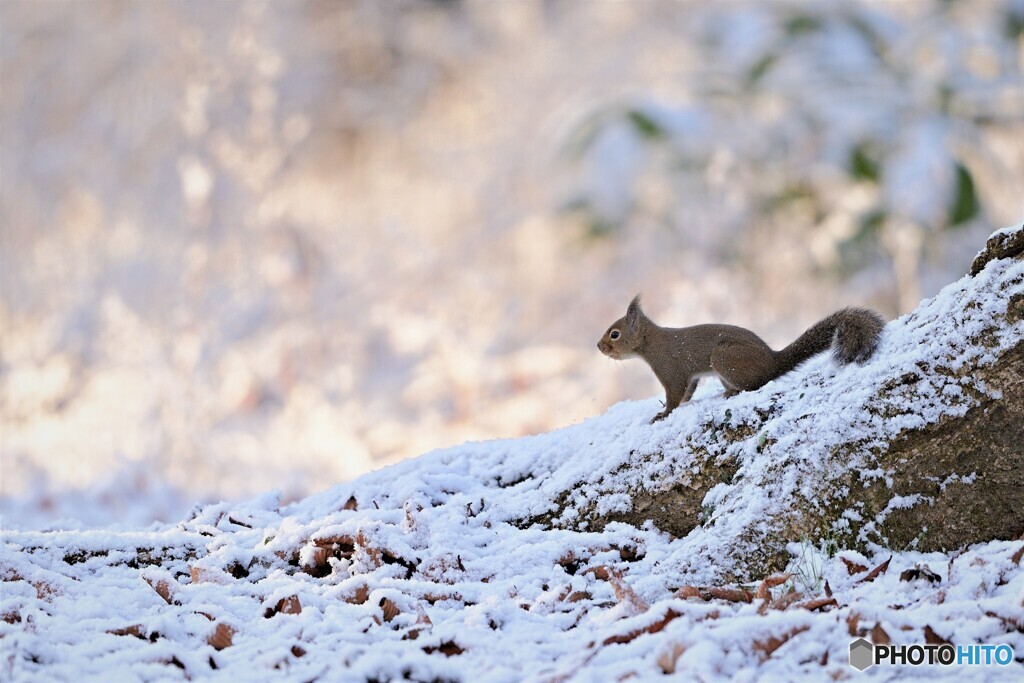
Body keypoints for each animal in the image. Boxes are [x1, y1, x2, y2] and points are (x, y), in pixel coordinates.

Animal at [598, 296, 884, 423]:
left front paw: (663, 414)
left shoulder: (670, 369)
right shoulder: (690, 376)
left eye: (615, 334)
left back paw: (733, 393)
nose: (599, 346)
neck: (650, 344)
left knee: (755, 384)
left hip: (724, 358)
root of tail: (773, 362)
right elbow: (688, 392)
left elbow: (675, 395)